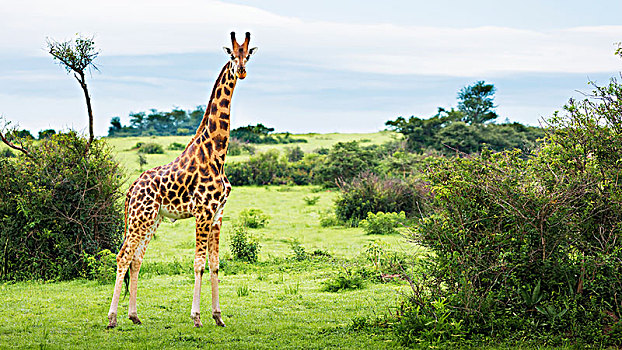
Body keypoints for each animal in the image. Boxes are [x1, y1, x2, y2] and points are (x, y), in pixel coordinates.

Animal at [107, 32, 258, 328]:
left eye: (248, 55)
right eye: (232, 55)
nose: (242, 71)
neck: (217, 153)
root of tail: (131, 189)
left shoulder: (218, 214)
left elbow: (215, 264)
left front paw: (218, 317)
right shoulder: (203, 212)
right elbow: (199, 263)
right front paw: (197, 317)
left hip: (151, 220)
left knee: (137, 259)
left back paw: (134, 315)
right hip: (139, 219)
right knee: (123, 256)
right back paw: (112, 318)